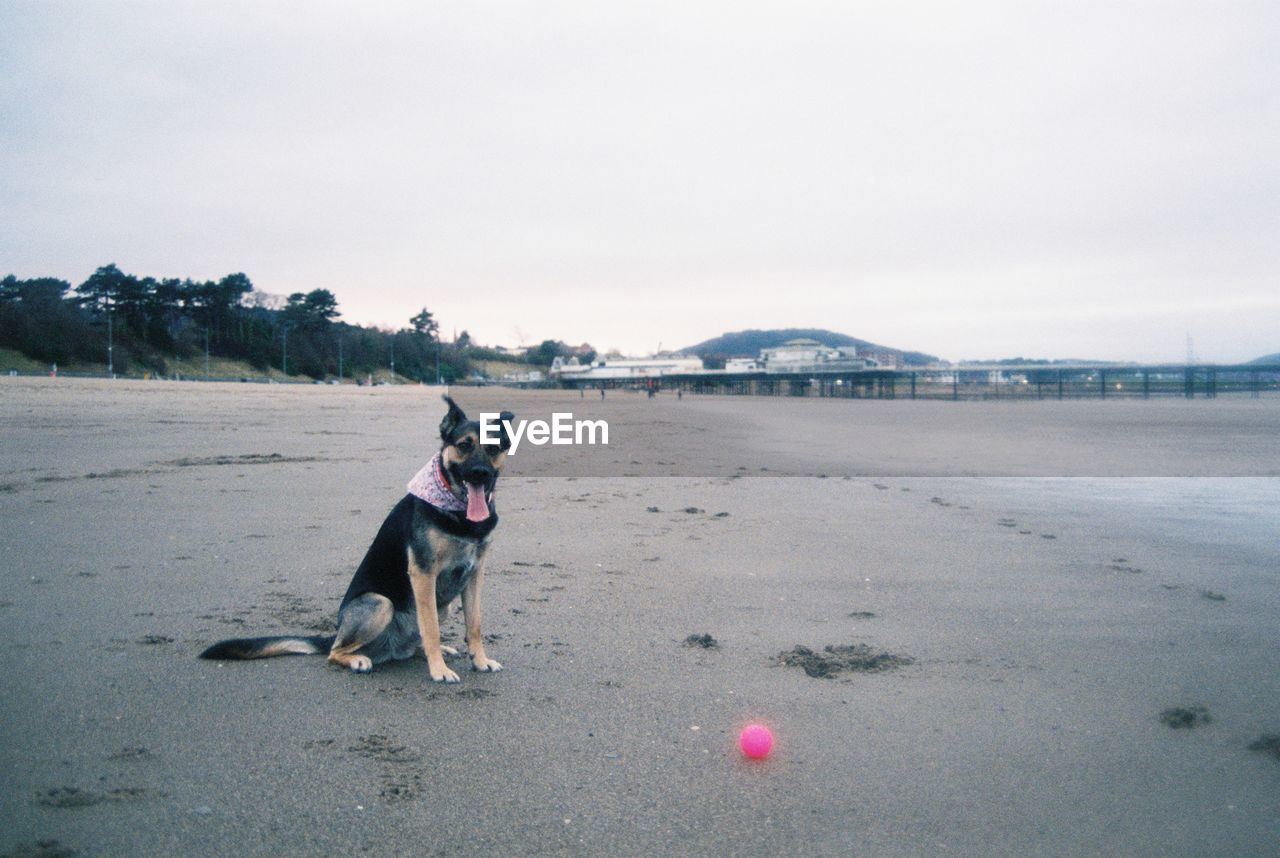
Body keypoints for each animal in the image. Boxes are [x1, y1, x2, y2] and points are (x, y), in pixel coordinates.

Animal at [202, 396, 512, 686]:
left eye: (493, 448)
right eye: (464, 445)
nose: (480, 474)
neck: (458, 513)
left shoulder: (474, 574)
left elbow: (474, 624)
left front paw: (480, 661)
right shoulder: (423, 574)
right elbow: (432, 629)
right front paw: (439, 671)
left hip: (439, 606)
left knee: (415, 640)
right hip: (380, 603)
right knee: (335, 652)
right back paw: (358, 659)